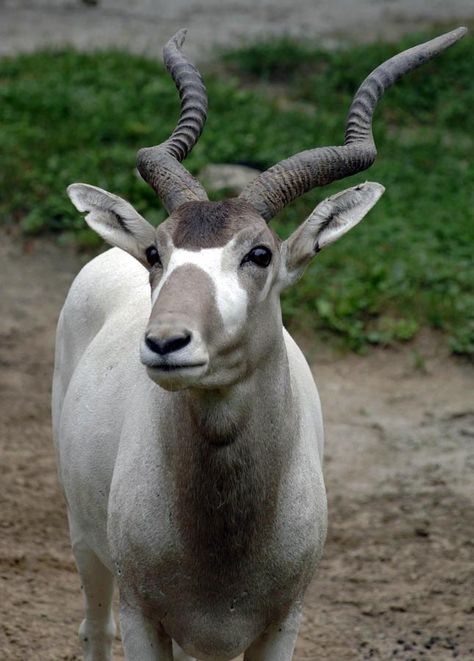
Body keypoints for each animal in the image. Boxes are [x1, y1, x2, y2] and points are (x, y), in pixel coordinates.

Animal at [52, 25, 466, 660]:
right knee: (94, 629)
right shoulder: (144, 616)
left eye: (260, 253)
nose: (166, 342)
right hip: (87, 544)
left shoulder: (281, 623)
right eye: (156, 252)